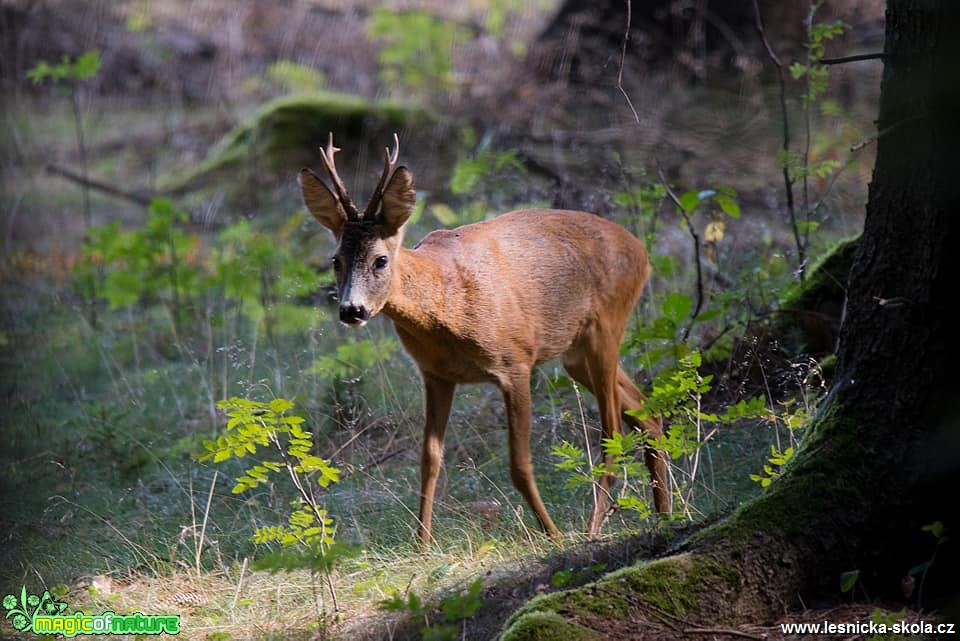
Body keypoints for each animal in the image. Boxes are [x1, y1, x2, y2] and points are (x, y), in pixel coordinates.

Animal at [300, 132, 668, 544]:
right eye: (335, 260)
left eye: (380, 259)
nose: (353, 310)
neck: (443, 305)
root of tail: (641, 250)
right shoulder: (435, 375)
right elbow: (429, 460)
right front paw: (422, 543)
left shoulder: (516, 362)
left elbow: (519, 465)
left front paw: (553, 535)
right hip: (576, 354)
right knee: (647, 412)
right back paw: (665, 514)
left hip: (607, 327)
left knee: (613, 431)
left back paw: (592, 528)